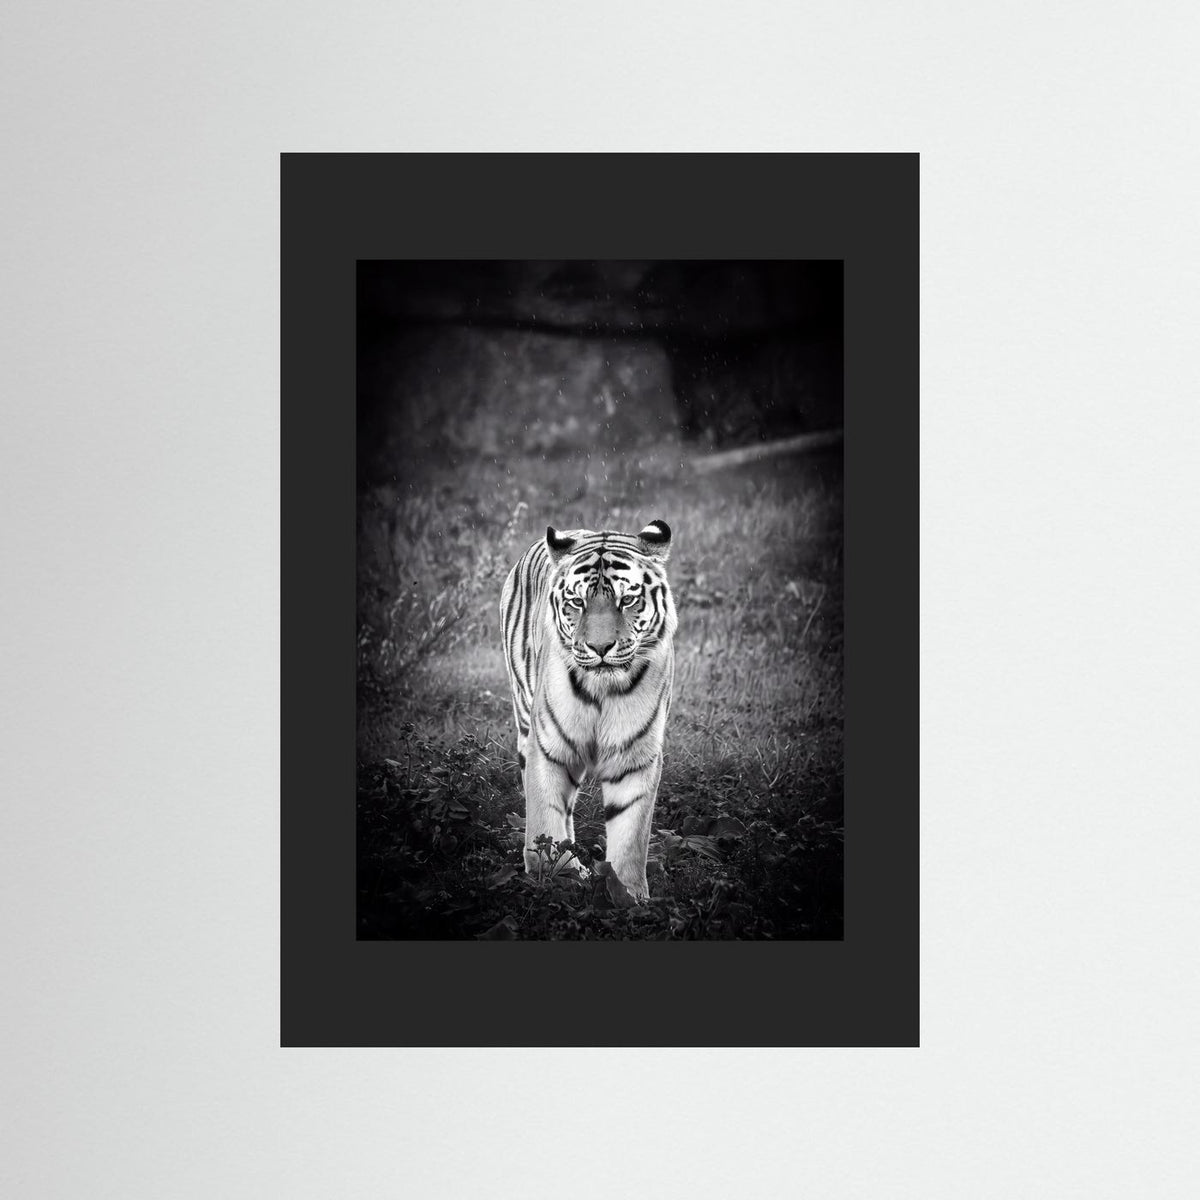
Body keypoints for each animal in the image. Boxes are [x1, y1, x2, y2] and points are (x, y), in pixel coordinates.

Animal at [499, 519, 677, 900]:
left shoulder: (635, 756)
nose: (600, 647)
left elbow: (631, 833)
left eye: (627, 600)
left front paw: (628, 895)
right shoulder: (548, 747)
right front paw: (555, 876)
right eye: (577, 602)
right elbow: (545, 816)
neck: (602, 690)